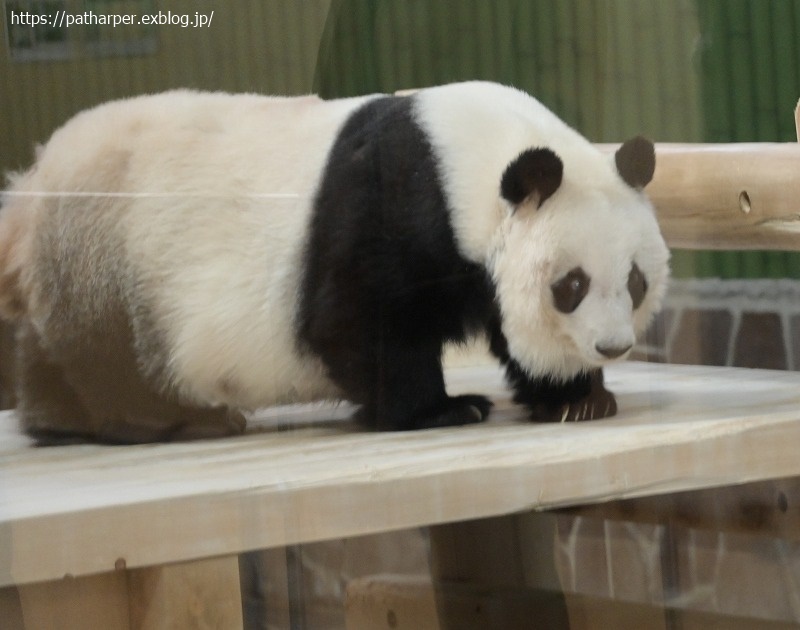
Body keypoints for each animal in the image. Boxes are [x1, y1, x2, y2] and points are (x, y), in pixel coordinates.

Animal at [0, 82, 668, 444]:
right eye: (571, 284)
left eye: (635, 282)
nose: (611, 347)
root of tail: (32, 188)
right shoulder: (393, 202)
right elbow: (354, 317)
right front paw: (442, 410)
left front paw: (574, 397)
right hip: (113, 260)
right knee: (111, 360)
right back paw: (175, 420)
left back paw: (58, 419)